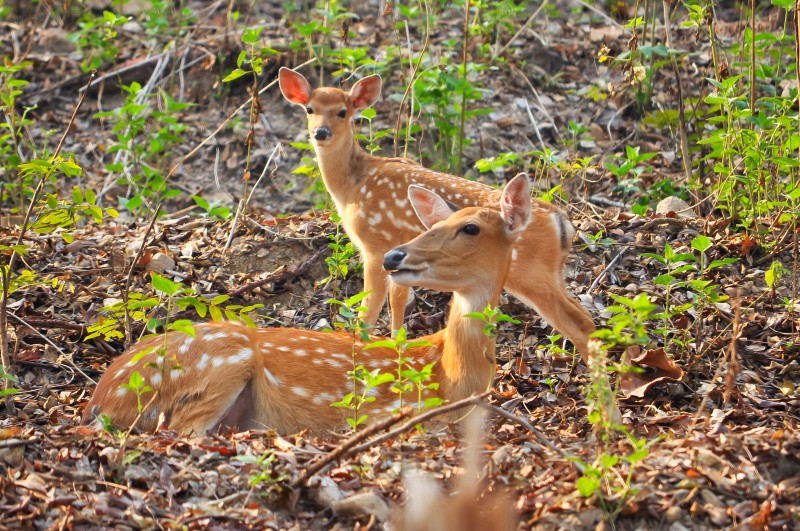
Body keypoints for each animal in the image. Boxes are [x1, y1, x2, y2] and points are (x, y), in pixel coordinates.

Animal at [83, 177, 532, 434]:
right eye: (434, 225)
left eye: (470, 228)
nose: (393, 256)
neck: (452, 377)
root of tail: (100, 398)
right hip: (221, 361)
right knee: (177, 434)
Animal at [278, 66, 596, 364]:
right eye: (310, 109)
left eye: (343, 112)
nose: (321, 132)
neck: (353, 185)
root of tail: (562, 222)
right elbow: (399, 304)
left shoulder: (377, 246)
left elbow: (370, 312)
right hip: (551, 274)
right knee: (588, 317)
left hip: (530, 274)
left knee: (579, 323)